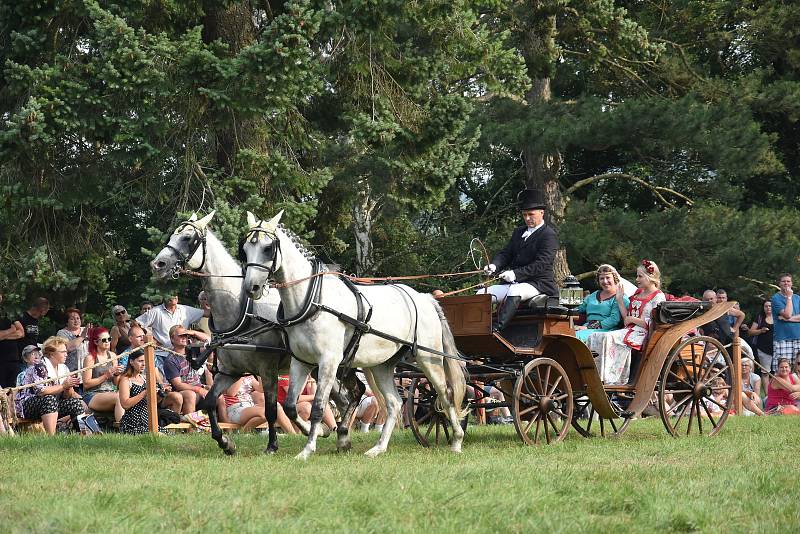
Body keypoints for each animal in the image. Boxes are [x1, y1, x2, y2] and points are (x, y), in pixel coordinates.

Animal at [149, 214, 362, 456]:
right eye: (172, 236)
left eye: (187, 238)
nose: (158, 265)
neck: (241, 311)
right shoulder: (230, 372)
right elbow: (209, 402)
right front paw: (226, 442)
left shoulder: (267, 369)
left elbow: (271, 409)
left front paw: (272, 445)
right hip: (322, 367)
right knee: (348, 397)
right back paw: (340, 435)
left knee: (352, 394)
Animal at [241, 211, 466, 462]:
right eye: (245, 249)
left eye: (268, 248)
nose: (252, 287)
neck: (312, 300)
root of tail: (424, 298)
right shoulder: (301, 361)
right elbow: (290, 405)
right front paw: (321, 432)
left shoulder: (329, 361)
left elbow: (318, 407)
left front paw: (308, 448)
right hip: (382, 365)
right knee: (394, 402)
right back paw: (378, 448)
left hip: (429, 359)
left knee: (445, 394)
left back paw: (456, 441)